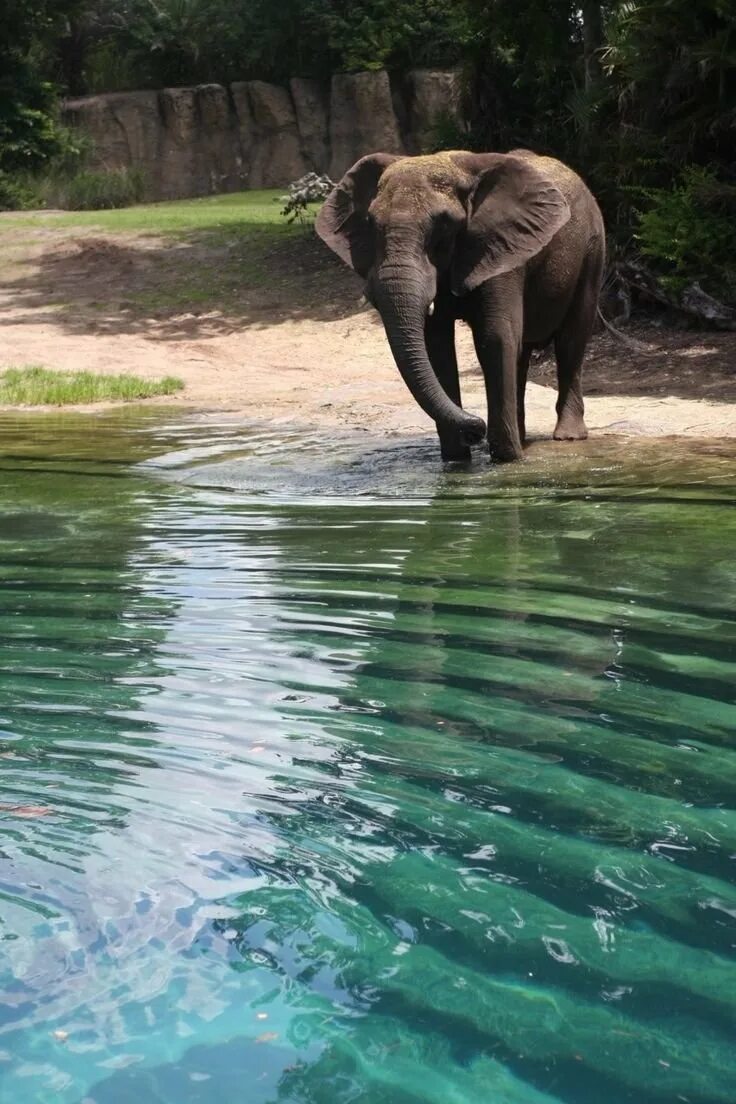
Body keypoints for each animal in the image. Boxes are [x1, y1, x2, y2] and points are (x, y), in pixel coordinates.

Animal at [317, 149, 604, 459]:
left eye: (443, 224)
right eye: (370, 223)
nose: (475, 430)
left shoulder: (499, 248)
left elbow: (494, 338)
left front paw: (507, 459)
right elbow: (438, 345)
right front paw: (456, 460)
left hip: (592, 249)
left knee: (571, 339)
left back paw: (567, 437)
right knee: (524, 351)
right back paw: (522, 437)